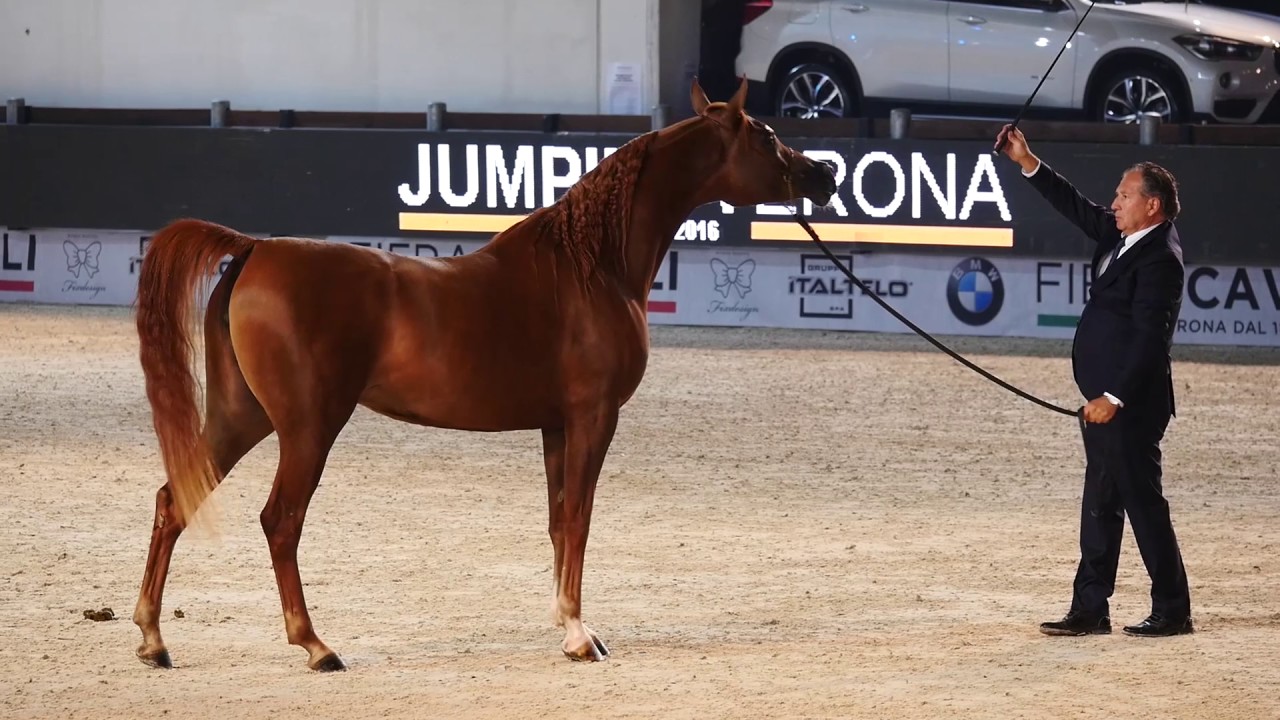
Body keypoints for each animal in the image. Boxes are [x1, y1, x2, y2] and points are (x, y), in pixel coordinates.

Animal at [130, 77, 837, 671]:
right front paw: (579, 637)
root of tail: (256, 249)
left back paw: (153, 638)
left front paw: (569, 625)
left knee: (174, 499)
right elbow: (579, 520)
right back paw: (316, 646)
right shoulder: (594, 417)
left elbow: (558, 521)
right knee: (280, 521)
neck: (592, 265)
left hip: (242, 416)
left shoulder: (556, 425)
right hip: (308, 426)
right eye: (765, 134)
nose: (824, 174)